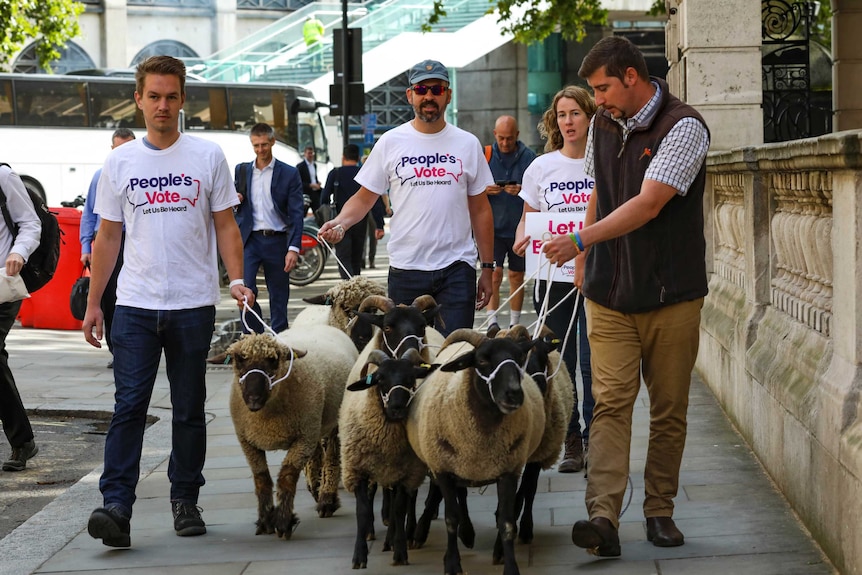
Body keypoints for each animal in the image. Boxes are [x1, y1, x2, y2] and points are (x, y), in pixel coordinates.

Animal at [228, 328, 360, 540]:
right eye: (238, 359)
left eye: (273, 360)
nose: (253, 399)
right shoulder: (248, 442)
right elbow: (261, 479)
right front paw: (265, 521)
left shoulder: (303, 439)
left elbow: (287, 476)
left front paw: (283, 522)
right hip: (314, 425)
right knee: (317, 454)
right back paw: (316, 488)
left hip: (332, 421)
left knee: (332, 457)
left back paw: (326, 500)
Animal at [340, 348, 442, 568]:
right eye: (380, 378)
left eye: (411, 377)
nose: (397, 407)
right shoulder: (358, 469)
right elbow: (362, 511)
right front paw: (359, 556)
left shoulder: (406, 473)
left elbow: (399, 509)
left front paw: (400, 551)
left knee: (404, 504)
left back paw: (394, 539)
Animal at [406, 328, 548, 575]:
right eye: (482, 360)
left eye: (520, 358)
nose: (513, 394)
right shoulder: (443, 469)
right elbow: (451, 518)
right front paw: (452, 564)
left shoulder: (508, 470)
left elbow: (506, 522)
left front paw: (510, 566)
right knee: (452, 496)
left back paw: (468, 533)